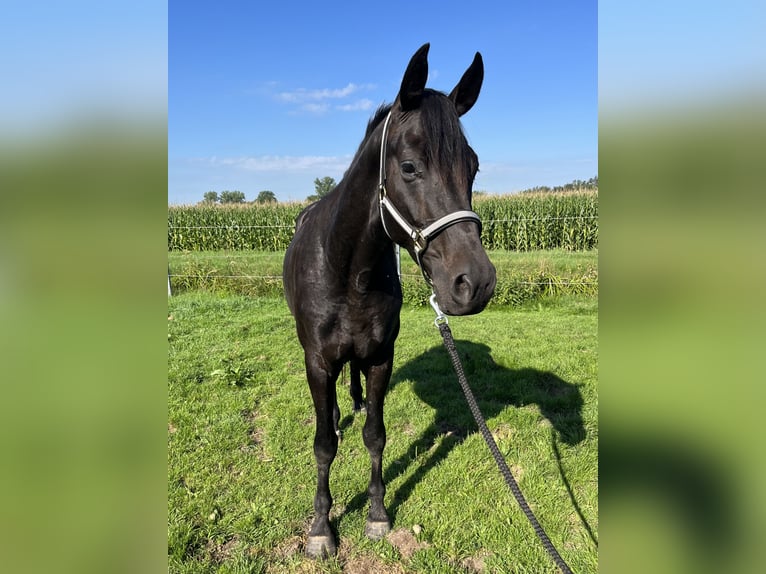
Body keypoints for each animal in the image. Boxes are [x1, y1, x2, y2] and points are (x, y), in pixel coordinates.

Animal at [284, 44, 498, 560]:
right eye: (409, 167)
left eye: (474, 166)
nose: (476, 283)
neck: (348, 269)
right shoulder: (317, 361)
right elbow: (323, 445)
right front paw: (321, 527)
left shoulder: (380, 356)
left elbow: (376, 436)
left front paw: (378, 514)